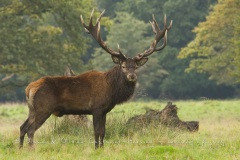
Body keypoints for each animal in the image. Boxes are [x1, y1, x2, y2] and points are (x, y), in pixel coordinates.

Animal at [19, 9, 172, 149]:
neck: (112, 91)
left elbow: (103, 132)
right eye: (123, 66)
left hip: (32, 109)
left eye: (135, 66)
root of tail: (29, 88)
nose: (132, 76)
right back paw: (32, 149)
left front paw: (101, 148)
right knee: (30, 130)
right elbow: (97, 131)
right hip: (43, 108)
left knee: (22, 127)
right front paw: (96, 148)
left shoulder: (104, 110)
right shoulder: (97, 108)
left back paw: (20, 149)